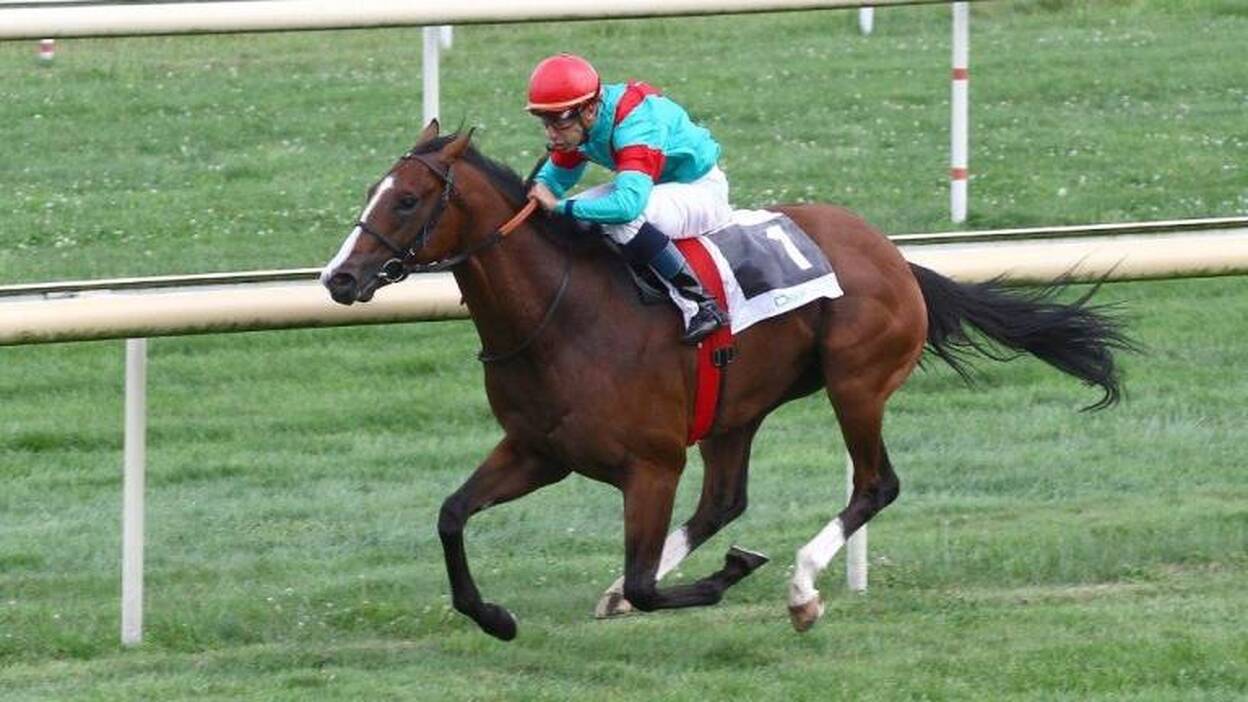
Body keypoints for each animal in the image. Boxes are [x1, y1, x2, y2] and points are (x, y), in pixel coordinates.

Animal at [321, 121, 1132, 640]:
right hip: (734, 410)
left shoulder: (651, 464)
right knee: (724, 500)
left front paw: (730, 575)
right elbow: (451, 515)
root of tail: (894, 255)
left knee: (874, 484)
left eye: (406, 199)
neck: (561, 316)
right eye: (371, 190)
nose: (339, 278)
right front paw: (494, 617)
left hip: (856, 384)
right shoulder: (537, 452)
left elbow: (650, 586)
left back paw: (803, 589)